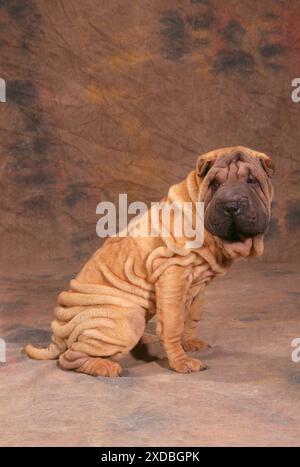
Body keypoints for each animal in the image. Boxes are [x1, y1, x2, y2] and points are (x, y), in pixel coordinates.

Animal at [25, 145, 274, 376]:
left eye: (252, 181)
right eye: (215, 184)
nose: (232, 206)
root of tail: (58, 331)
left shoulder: (198, 286)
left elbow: (191, 317)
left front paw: (189, 342)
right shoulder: (172, 273)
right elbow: (173, 324)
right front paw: (181, 362)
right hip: (128, 319)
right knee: (69, 357)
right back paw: (105, 366)